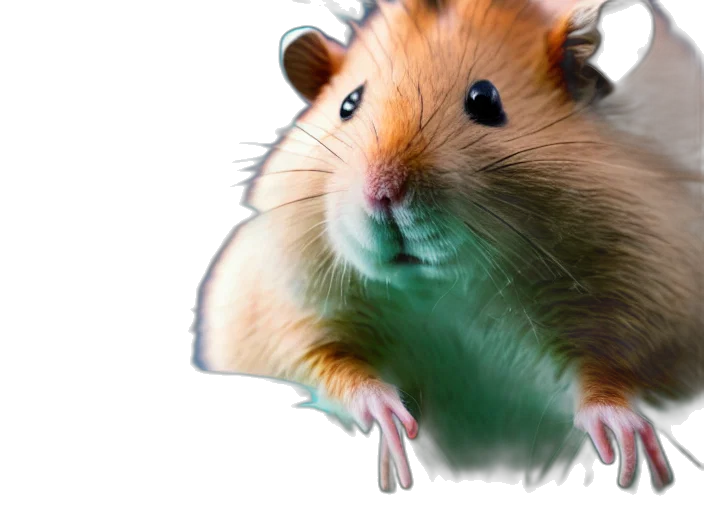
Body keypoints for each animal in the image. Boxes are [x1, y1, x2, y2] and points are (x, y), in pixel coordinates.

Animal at [196, 0, 704, 493]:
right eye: (348, 104)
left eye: (485, 99)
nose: (382, 192)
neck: (448, 288)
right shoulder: (285, 313)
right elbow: (337, 366)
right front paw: (395, 455)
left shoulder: (649, 303)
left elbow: (608, 380)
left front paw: (640, 464)